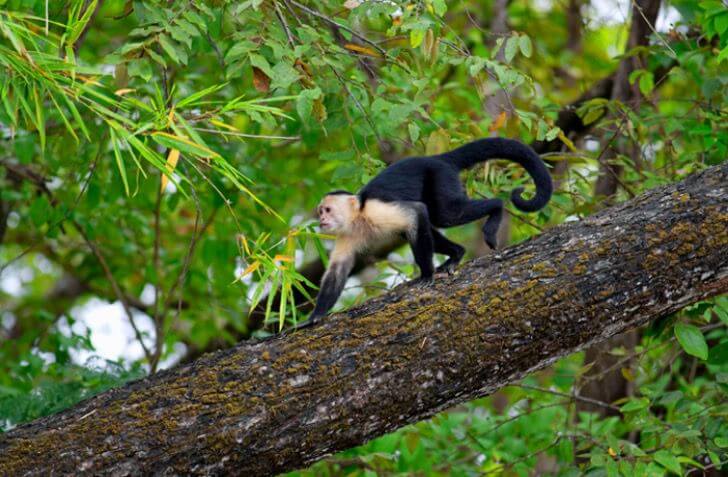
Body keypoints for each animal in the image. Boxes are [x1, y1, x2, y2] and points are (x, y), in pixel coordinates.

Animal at [308, 138, 552, 324]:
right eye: (321, 211)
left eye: (327, 210)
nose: (321, 220)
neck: (358, 217)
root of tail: (438, 158)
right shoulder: (346, 233)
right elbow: (338, 270)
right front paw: (315, 316)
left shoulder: (375, 210)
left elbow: (416, 213)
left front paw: (426, 275)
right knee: (429, 221)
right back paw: (456, 253)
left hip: (439, 177)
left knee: (445, 214)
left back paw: (496, 209)